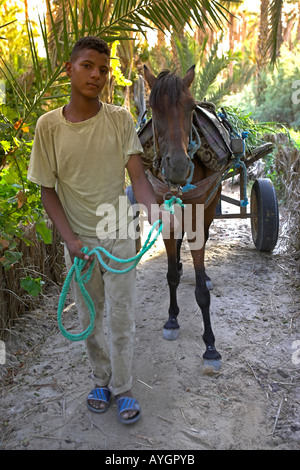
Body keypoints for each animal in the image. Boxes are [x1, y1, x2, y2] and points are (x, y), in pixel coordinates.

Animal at [137, 65, 236, 370]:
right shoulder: (166, 219)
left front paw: (211, 346)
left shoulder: (196, 222)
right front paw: (172, 319)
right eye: (153, 108)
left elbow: (202, 292)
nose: (179, 167)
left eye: (191, 107)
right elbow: (170, 275)